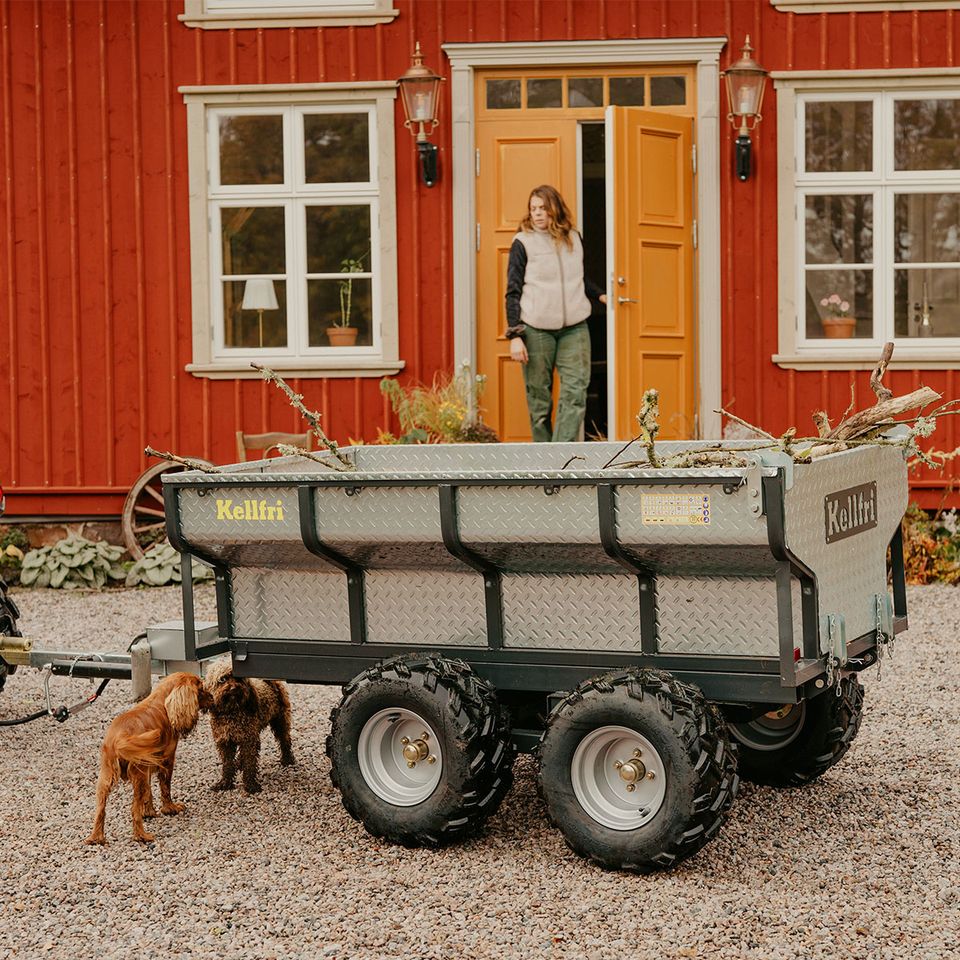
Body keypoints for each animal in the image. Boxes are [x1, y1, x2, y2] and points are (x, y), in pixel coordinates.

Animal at [85, 672, 212, 844]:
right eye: (201, 688)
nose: (213, 697)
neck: (162, 702)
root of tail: (119, 738)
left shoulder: (148, 763)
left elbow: (149, 791)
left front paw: (149, 811)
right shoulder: (166, 760)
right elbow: (165, 788)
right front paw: (170, 808)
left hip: (106, 775)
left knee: (100, 809)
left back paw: (96, 837)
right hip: (136, 774)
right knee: (133, 808)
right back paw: (142, 835)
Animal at [202, 660, 292, 796]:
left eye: (239, 678)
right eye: (222, 679)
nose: (234, 688)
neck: (232, 712)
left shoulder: (248, 740)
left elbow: (250, 764)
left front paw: (250, 785)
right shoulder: (225, 742)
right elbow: (227, 764)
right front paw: (225, 783)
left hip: (280, 721)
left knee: (284, 740)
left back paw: (288, 760)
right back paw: (239, 763)